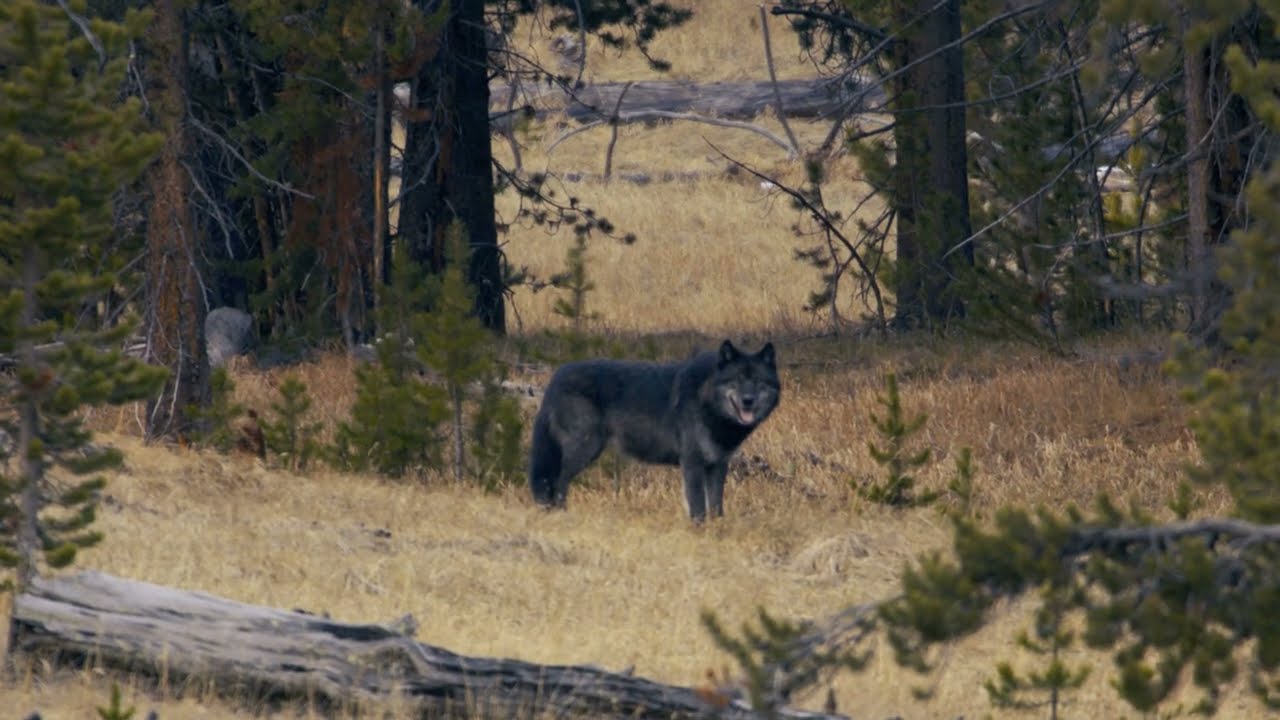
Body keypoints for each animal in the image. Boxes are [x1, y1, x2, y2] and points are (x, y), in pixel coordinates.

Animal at [528, 340, 780, 522]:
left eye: (758, 381)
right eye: (737, 379)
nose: (748, 400)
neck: (706, 400)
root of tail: (556, 377)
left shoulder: (717, 465)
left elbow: (716, 506)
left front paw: (718, 529)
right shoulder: (692, 463)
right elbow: (698, 507)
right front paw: (699, 532)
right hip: (585, 449)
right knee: (558, 482)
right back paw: (561, 515)